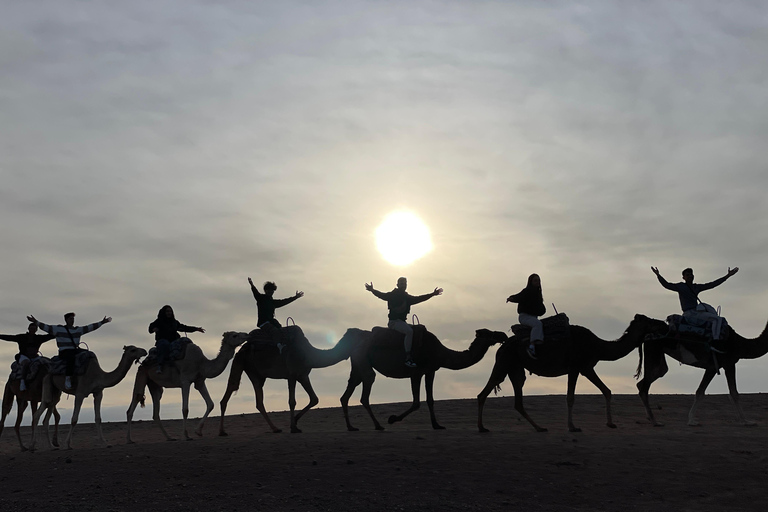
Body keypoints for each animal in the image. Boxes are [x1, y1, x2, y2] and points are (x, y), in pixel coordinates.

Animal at [219, 326, 364, 434]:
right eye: (358, 333)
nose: (366, 333)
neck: (309, 354)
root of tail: (242, 349)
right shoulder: (292, 375)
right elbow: (292, 401)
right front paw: (293, 427)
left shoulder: (303, 375)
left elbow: (314, 399)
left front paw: (295, 422)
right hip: (247, 367)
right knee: (236, 389)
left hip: (257, 374)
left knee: (256, 400)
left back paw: (275, 428)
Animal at [340, 326, 508, 430]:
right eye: (488, 332)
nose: (503, 335)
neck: (441, 353)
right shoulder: (416, 372)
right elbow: (416, 402)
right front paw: (392, 418)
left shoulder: (430, 371)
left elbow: (430, 399)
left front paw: (437, 425)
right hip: (363, 360)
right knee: (366, 386)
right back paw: (377, 425)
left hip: (358, 364)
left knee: (348, 392)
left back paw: (351, 427)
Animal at [474, 316, 660, 432]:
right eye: (648, 320)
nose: (661, 323)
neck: (598, 346)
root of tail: (502, 346)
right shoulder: (575, 368)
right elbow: (570, 397)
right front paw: (572, 427)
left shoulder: (586, 368)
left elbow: (606, 391)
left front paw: (611, 423)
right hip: (503, 363)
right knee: (483, 393)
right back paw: (482, 428)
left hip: (515, 369)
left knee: (517, 400)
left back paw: (539, 428)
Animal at [632, 316, 768, 428]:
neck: (740, 344)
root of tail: (646, 336)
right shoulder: (728, 363)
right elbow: (734, 393)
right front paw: (746, 421)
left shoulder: (712, 367)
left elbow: (700, 392)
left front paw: (691, 419)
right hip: (654, 350)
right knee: (644, 387)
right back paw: (655, 421)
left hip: (658, 356)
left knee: (652, 376)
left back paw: (649, 417)